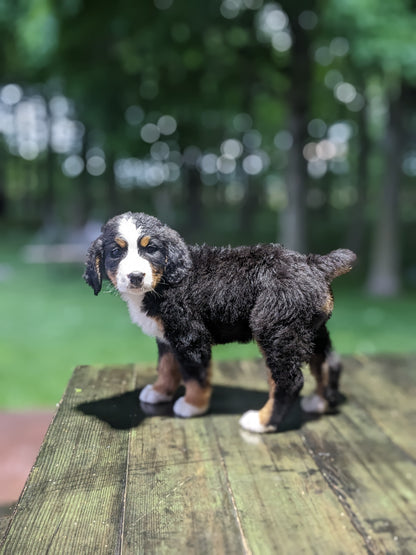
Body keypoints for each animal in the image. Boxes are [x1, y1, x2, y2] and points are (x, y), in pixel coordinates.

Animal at [83, 213, 354, 434]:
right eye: (116, 252)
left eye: (150, 249)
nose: (136, 277)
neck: (169, 277)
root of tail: (315, 263)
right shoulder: (167, 336)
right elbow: (167, 366)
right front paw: (160, 392)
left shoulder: (190, 337)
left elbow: (194, 375)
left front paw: (192, 405)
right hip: (310, 330)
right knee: (328, 363)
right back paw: (319, 402)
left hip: (276, 331)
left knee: (289, 381)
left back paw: (262, 422)